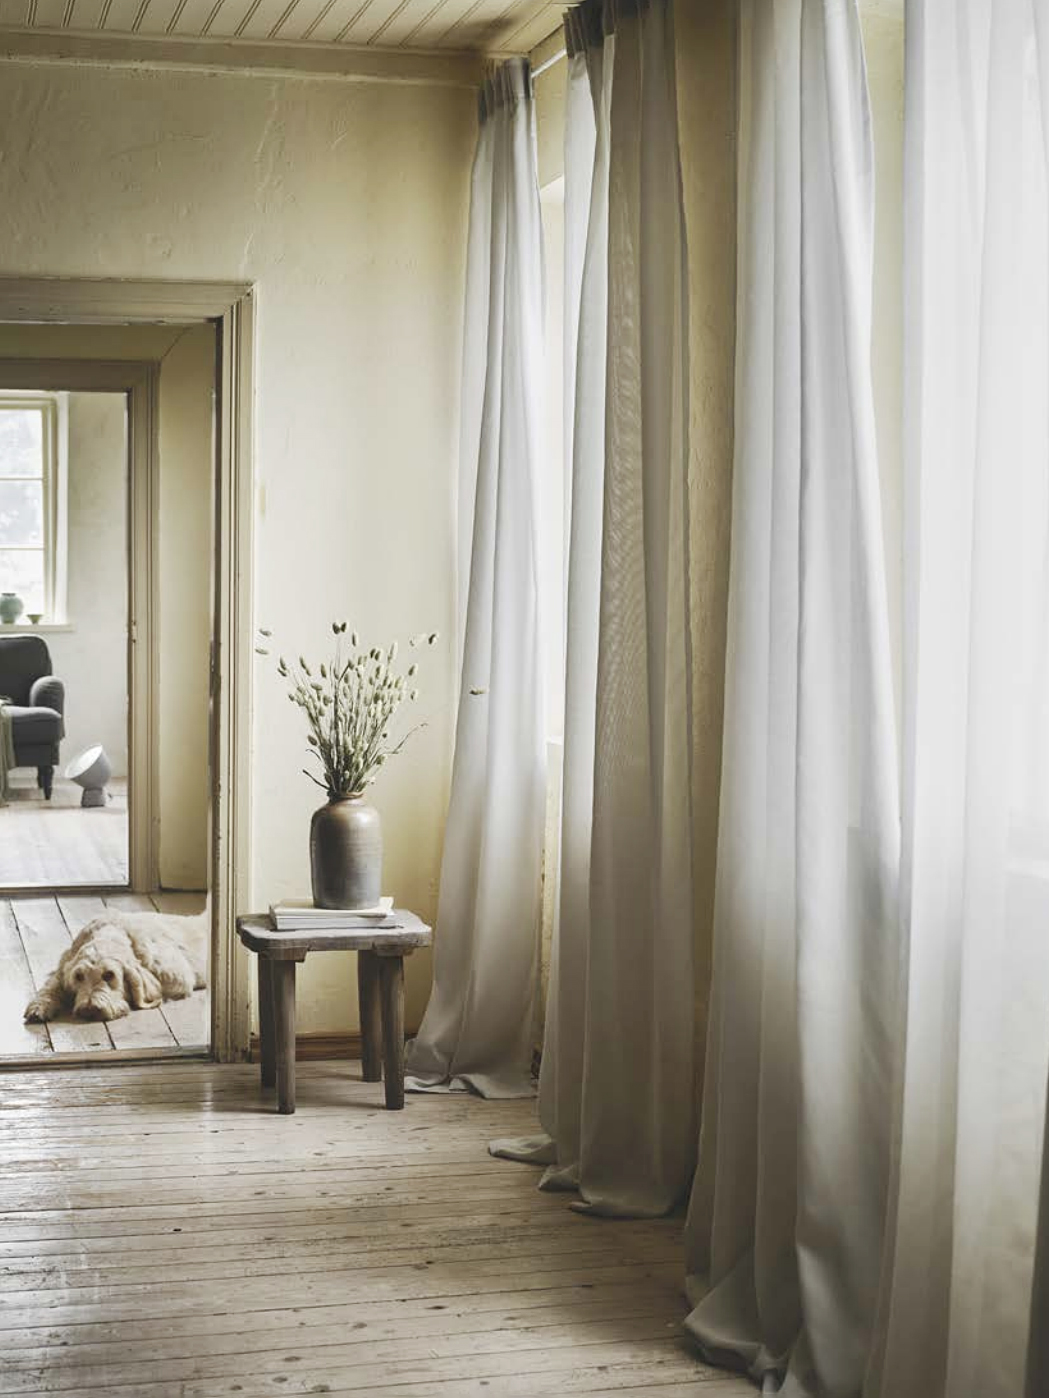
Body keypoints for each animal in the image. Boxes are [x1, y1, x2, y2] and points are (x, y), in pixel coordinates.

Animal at [23, 905, 207, 1028]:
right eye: (79, 976)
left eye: (109, 975)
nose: (88, 1010)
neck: (114, 929)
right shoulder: (64, 965)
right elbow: (52, 986)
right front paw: (39, 1007)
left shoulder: (177, 978)